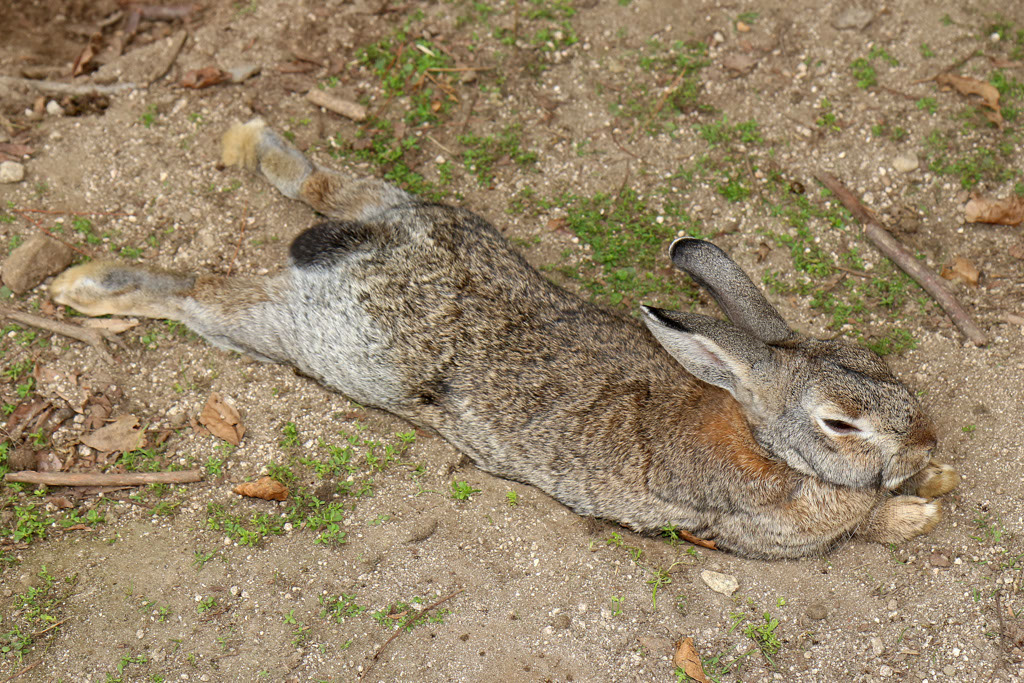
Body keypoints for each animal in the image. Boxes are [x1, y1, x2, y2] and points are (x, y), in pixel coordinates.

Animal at [49, 119, 959, 559]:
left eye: (883, 365)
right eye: (841, 422)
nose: (926, 440)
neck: (760, 429)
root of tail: (358, 255)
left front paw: (936, 476)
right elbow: (867, 526)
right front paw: (916, 511)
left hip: (420, 214)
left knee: (327, 184)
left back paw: (254, 139)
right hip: (304, 338)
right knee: (201, 296)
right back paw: (87, 287)